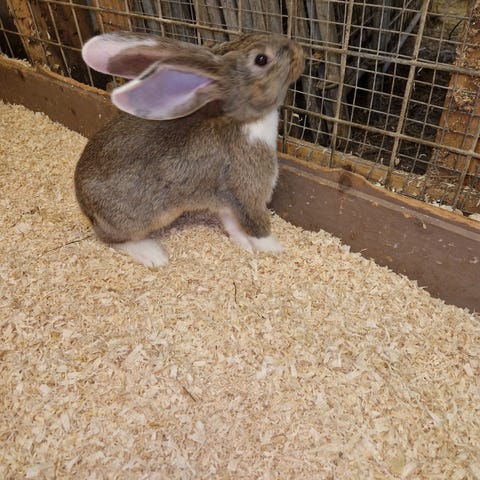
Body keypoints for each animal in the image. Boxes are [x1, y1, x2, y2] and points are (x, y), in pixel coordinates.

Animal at [74, 31, 304, 267]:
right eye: (261, 59)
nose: (298, 49)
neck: (243, 121)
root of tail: (84, 205)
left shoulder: (226, 202)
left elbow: (233, 226)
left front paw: (245, 246)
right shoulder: (248, 194)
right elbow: (258, 228)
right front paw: (277, 250)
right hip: (135, 220)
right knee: (111, 239)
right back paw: (154, 255)